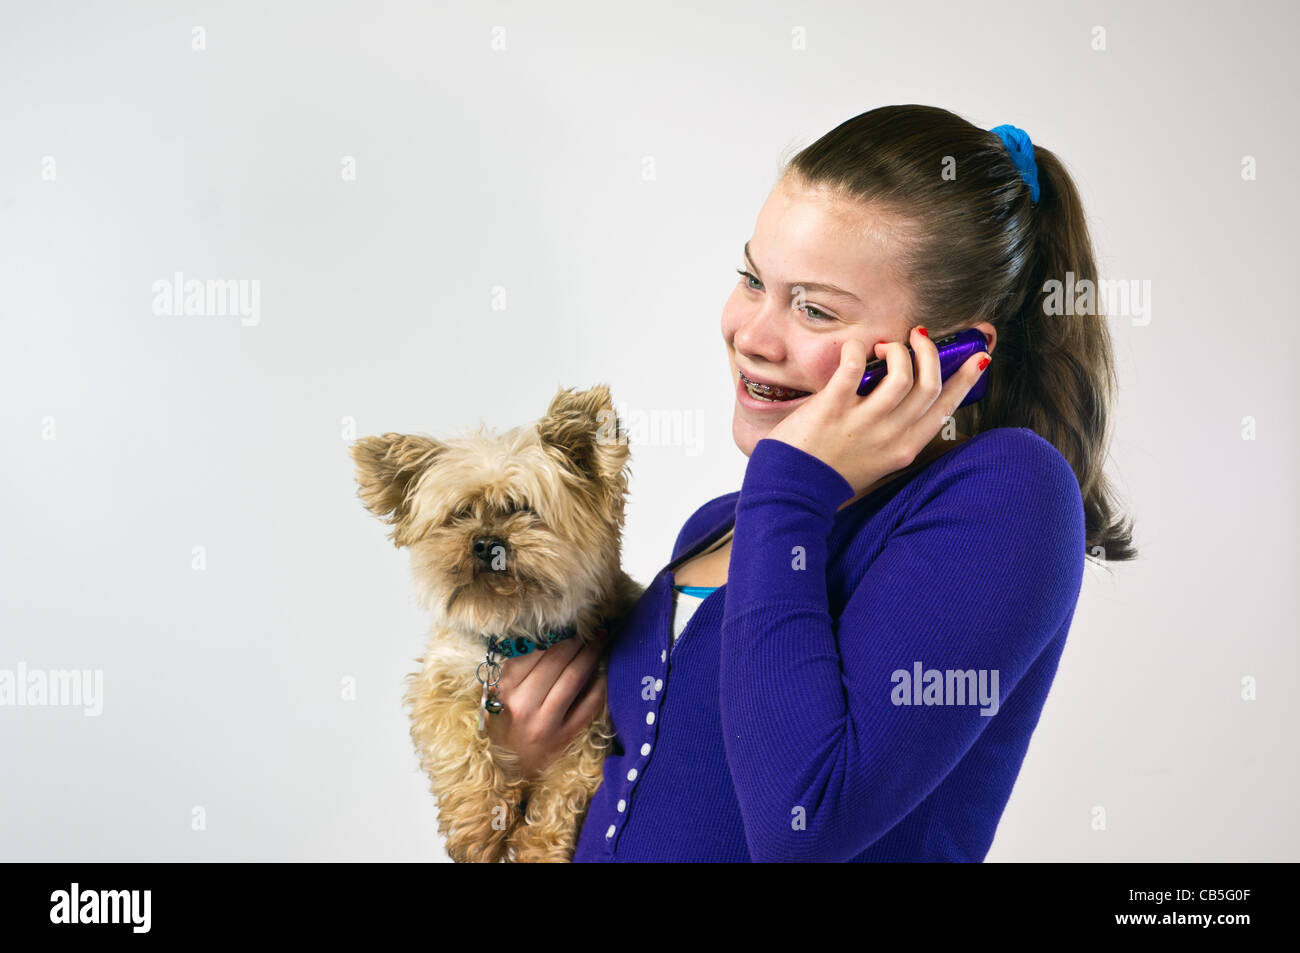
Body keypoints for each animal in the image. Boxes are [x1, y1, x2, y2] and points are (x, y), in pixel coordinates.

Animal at [351, 382, 644, 858]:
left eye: (523, 509)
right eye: (460, 514)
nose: (487, 542)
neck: (515, 634)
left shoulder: (593, 720)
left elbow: (566, 787)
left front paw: (540, 847)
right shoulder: (438, 687)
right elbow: (459, 747)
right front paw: (477, 826)